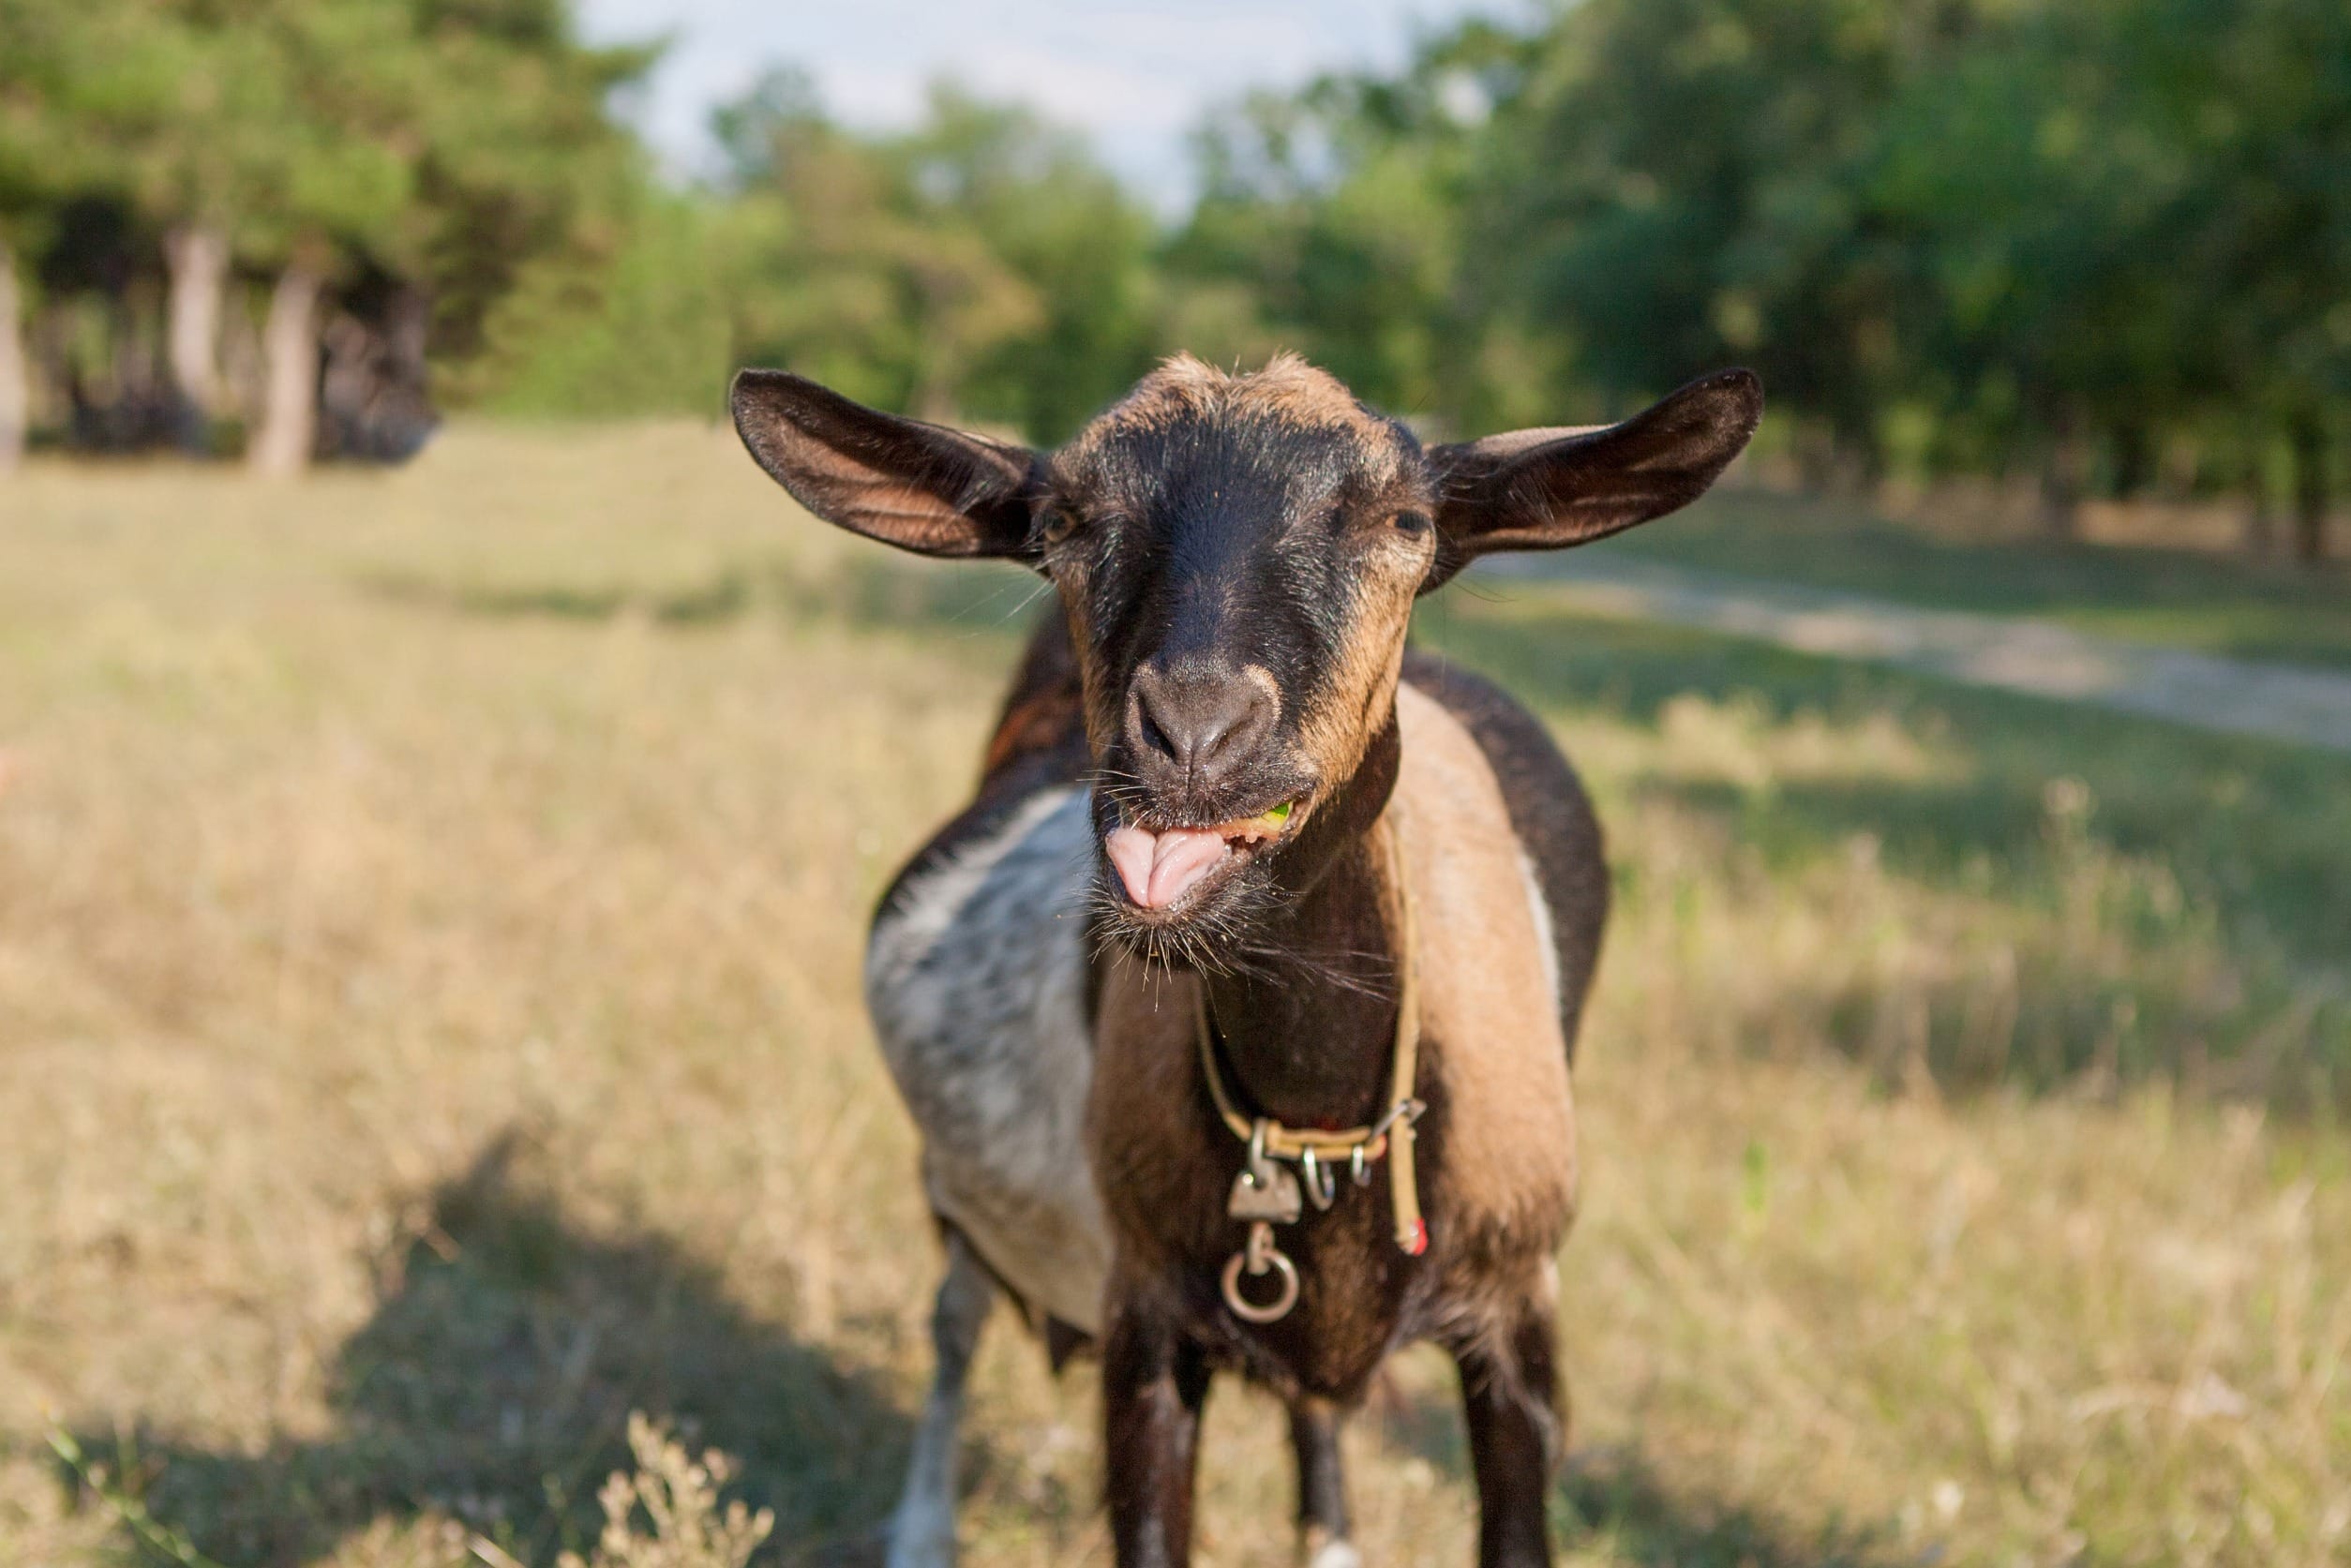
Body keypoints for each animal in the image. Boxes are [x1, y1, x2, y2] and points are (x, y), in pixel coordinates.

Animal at [730, 352, 1761, 1567]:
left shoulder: (1519, 1316)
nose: (1194, 735)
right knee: (954, 1315)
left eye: (1405, 520)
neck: (1311, 1117)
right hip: (957, 1187)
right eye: (1065, 519)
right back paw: (923, 1528)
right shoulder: (1145, 1320)